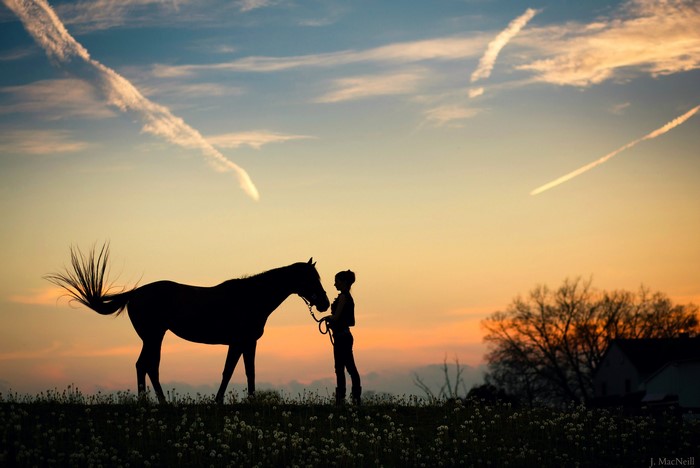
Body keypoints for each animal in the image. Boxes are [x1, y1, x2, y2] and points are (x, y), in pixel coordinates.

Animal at [45, 243, 330, 403]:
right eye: (311, 278)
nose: (325, 304)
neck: (250, 297)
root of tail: (135, 293)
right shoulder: (239, 342)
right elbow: (229, 372)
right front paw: (219, 401)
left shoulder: (246, 343)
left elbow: (247, 372)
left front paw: (246, 401)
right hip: (154, 336)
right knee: (147, 365)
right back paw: (154, 402)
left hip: (154, 337)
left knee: (146, 366)